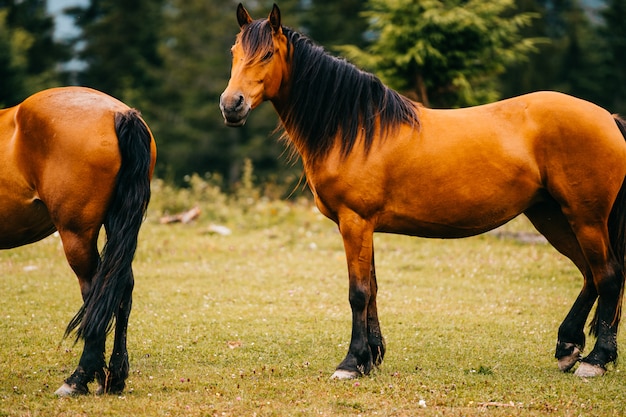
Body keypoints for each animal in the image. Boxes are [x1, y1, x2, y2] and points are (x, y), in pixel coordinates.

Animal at [0, 87, 156, 394]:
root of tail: (120, 113)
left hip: (76, 236)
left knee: (96, 290)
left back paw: (78, 379)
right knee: (120, 288)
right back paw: (113, 378)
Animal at [221, 4, 626, 380]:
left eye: (268, 54)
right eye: (234, 53)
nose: (231, 105)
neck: (357, 128)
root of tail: (608, 117)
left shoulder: (355, 222)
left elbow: (358, 293)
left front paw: (351, 363)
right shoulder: (364, 227)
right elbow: (373, 289)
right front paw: (372, 357)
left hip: (585, 218)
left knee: (608, 276)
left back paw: (595, 361)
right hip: (553, 216)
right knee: (590, 275)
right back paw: (568, 347)